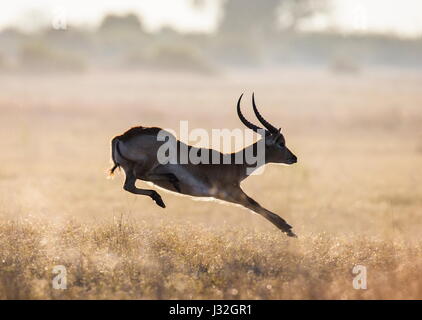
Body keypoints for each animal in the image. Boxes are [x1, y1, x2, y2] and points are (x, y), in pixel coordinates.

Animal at [110, 94, 298, 236]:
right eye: (281, 143)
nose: (294, 158)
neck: (233, 163)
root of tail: (121, 137)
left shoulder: (225, 196)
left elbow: (252, 205)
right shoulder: (232, 191)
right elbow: (254, 204)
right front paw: (287, 229)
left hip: (129, 171)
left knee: (129, 186)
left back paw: (161, 197)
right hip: (148, 164)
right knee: (142, 176)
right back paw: (169, 183)